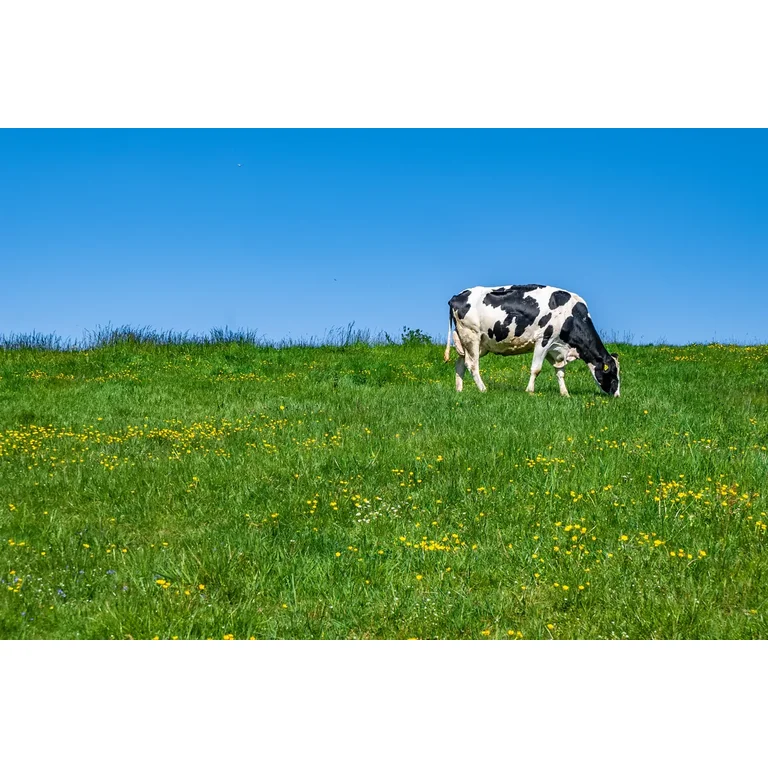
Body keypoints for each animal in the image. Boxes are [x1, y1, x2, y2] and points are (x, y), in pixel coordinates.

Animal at [444, 284, 620, 397]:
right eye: (613, 374)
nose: (617, 396)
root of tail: (457, 296)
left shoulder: (555, 349)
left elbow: (560, 372)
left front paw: (565, 394)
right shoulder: (544, 339)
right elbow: (536, 369)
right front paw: (530, 391)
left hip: (474, 342)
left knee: (460, 362)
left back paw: (459, 390)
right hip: (471, 335)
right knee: (472, 364)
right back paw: (483, 389)